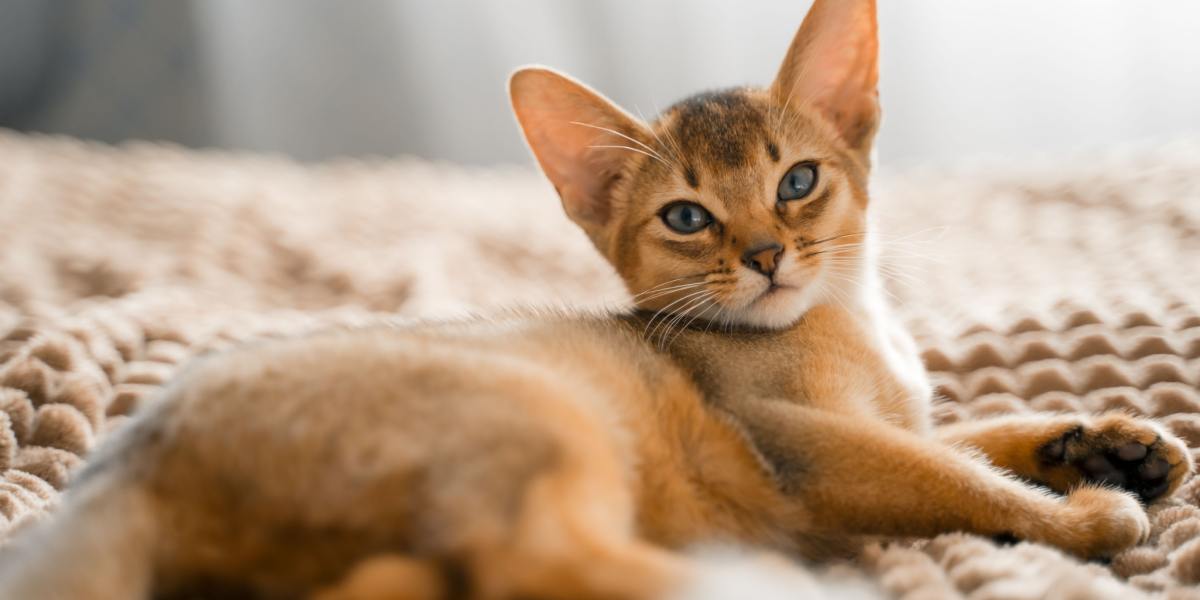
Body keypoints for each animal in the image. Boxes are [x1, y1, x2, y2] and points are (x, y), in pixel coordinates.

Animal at [4, 1, 1195, 600]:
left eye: (797, 181)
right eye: (687, 217)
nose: (767, 254)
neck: (849, 327)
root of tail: (123, 460)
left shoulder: (890, 413)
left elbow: (972, 432)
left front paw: (1110, 442)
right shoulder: (804, 446)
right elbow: (951, 475)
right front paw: (1084, 513)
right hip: (539, 419)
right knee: (535, 564)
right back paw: (765, 584)